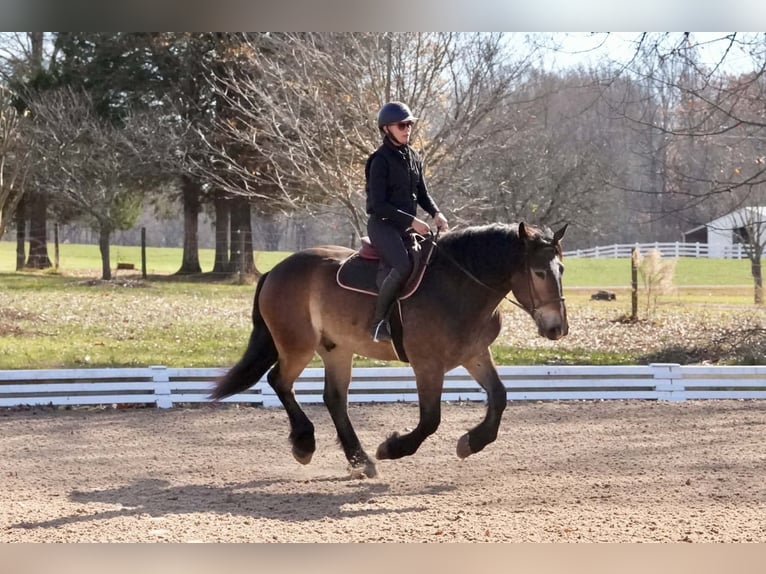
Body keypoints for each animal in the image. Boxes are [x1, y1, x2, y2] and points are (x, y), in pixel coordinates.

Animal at [211, 221, 569, 478]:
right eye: (538, 272)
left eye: (561, 270)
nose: (558, 328)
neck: (459, 286)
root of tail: (276, 270)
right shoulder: (427, 364)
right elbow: (430, 419)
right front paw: (392, 447)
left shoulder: (475, 354)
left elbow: (500, 396)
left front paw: (471, 443)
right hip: (297, 345)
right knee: (279, 381)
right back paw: (305, 443)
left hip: (337, 349)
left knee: (334, 399)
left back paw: (359, 460)